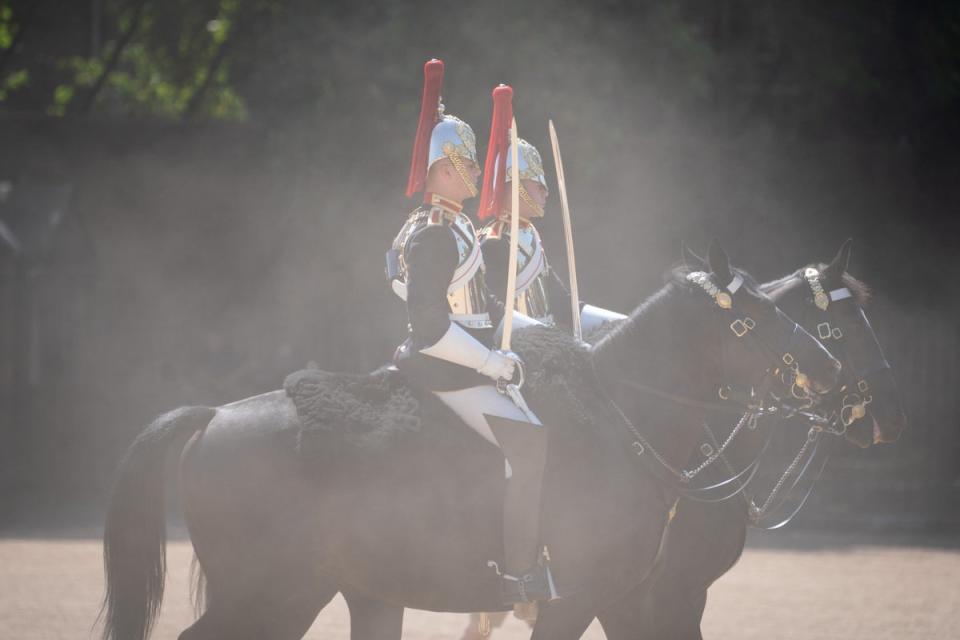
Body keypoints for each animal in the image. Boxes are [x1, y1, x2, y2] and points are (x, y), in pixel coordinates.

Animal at [97, 241, 840, 640]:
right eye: (749, 321)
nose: (830, 372)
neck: (625, 420)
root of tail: (209, 417)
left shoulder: (639, 600)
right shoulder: (586, 600)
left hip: (337, 591)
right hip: (272, 594)